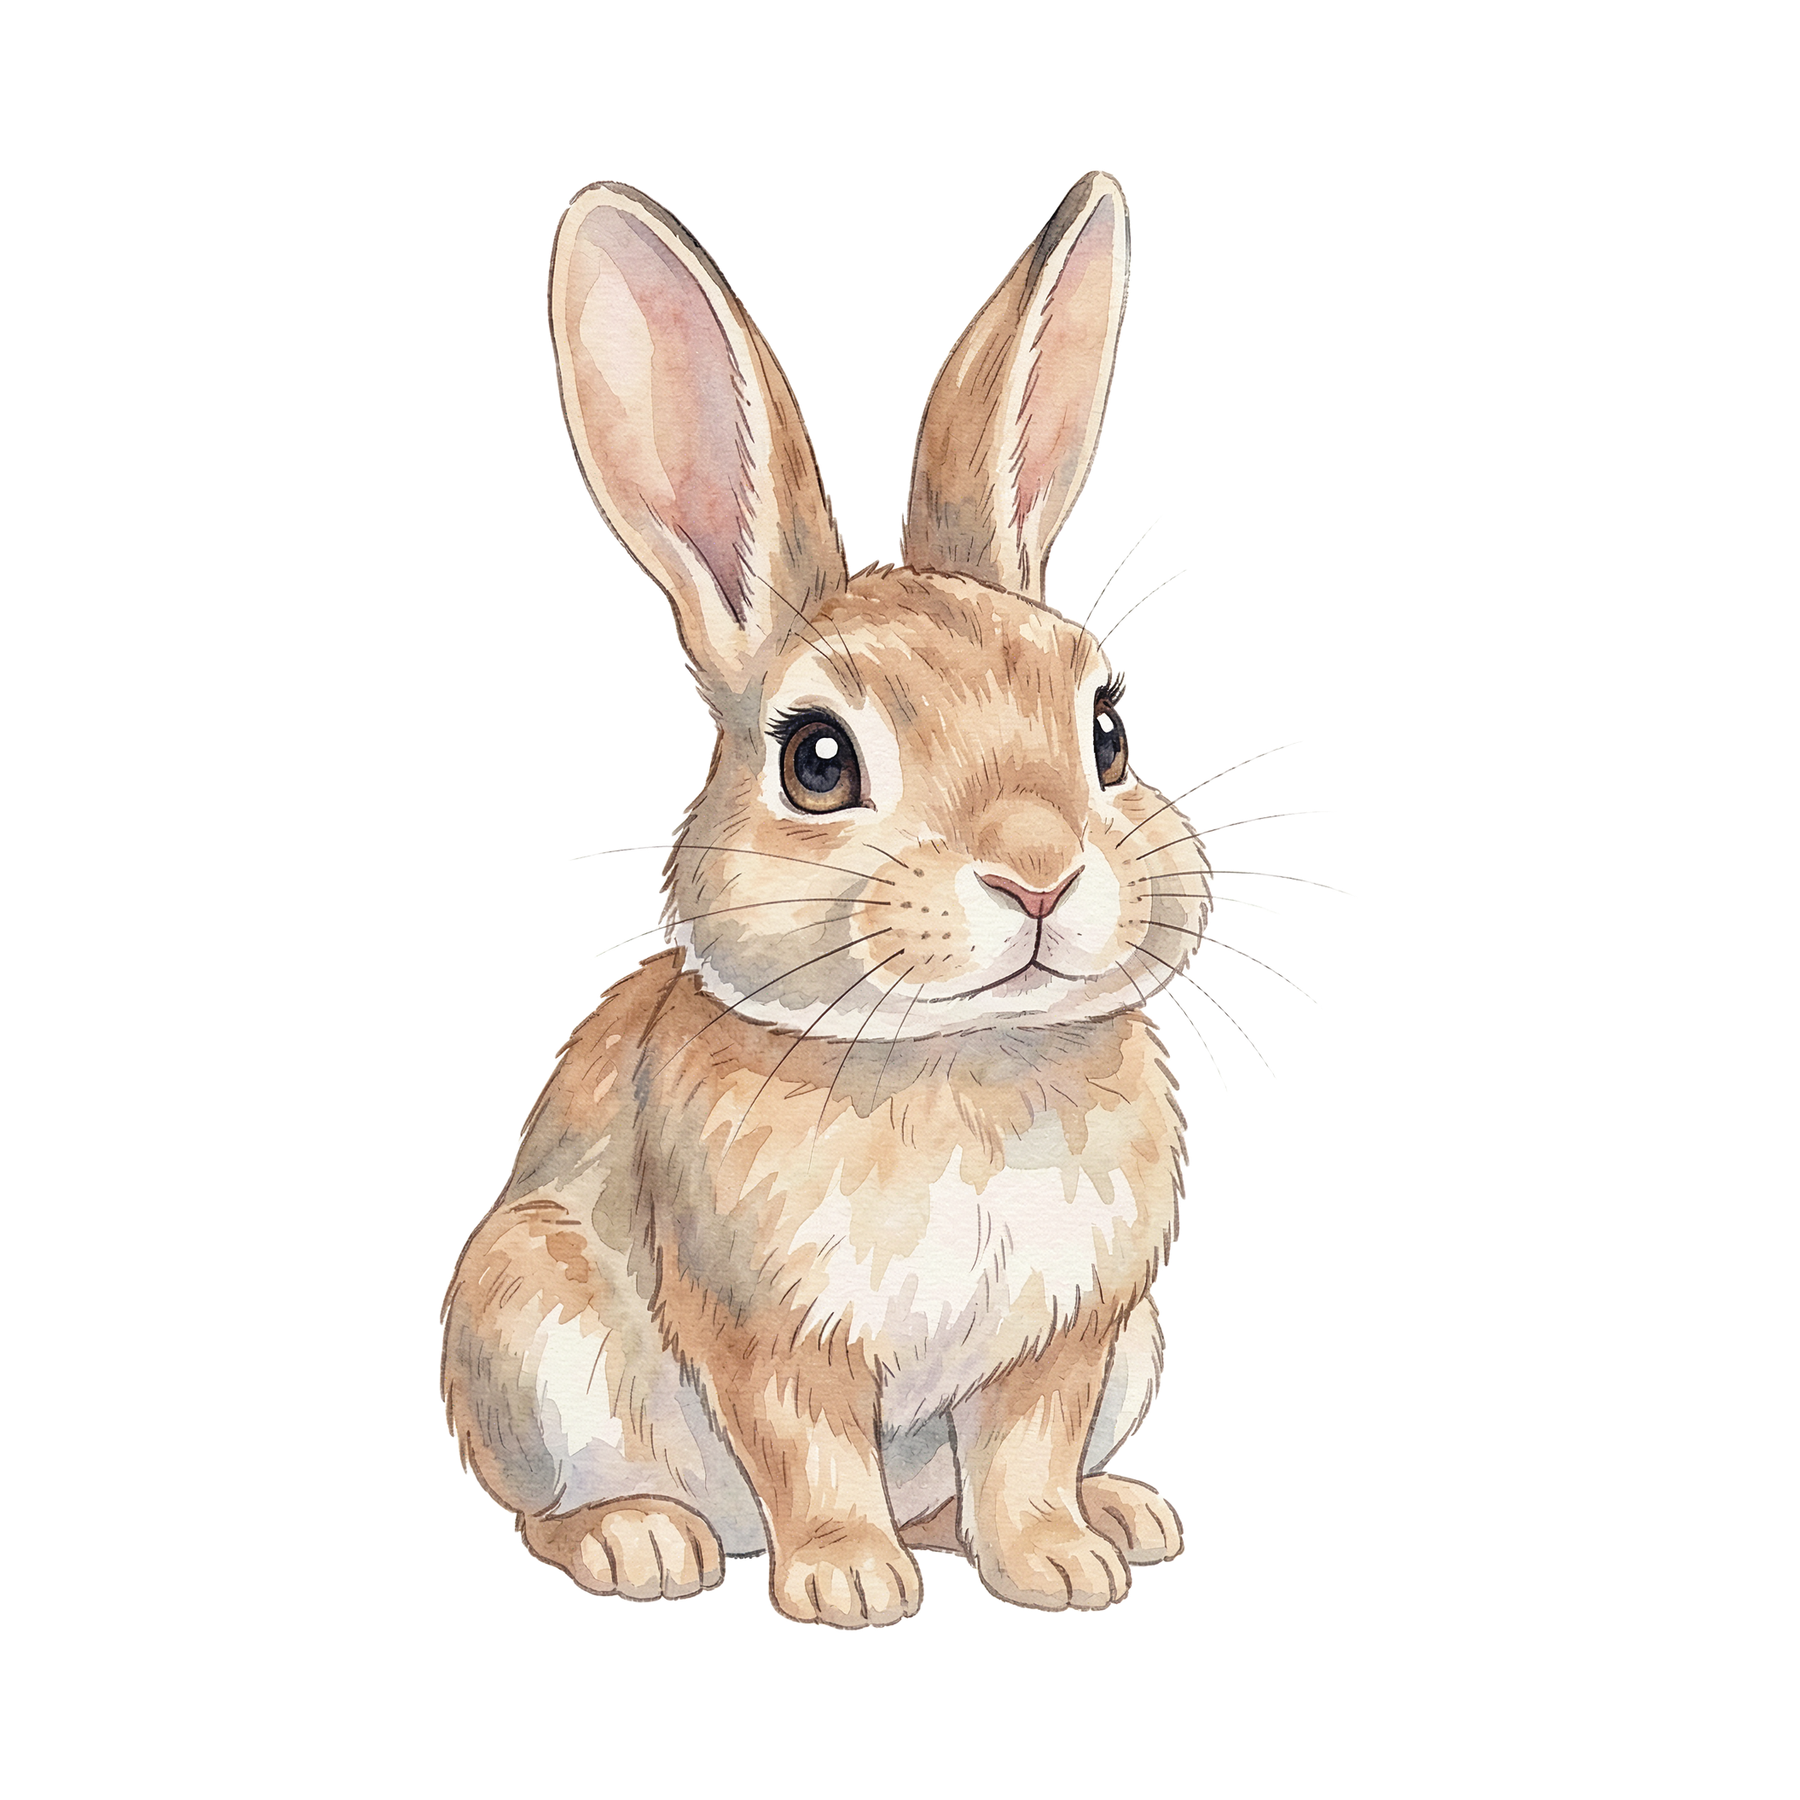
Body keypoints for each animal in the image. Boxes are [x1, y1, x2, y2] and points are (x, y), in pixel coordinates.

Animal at [441, 171, 1210, 1627]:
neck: (959, 1059)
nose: (1038, 872)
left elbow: (1022, 1457)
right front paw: (851, 1588)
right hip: (521, 1325)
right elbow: (812, 1452)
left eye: (1108, 733)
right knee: (538, 1514)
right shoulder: (765, 1330)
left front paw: (1061, 1568)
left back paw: (1125, 1513)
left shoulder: (1070, 1332)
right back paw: (646, 1545)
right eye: (815, 759)